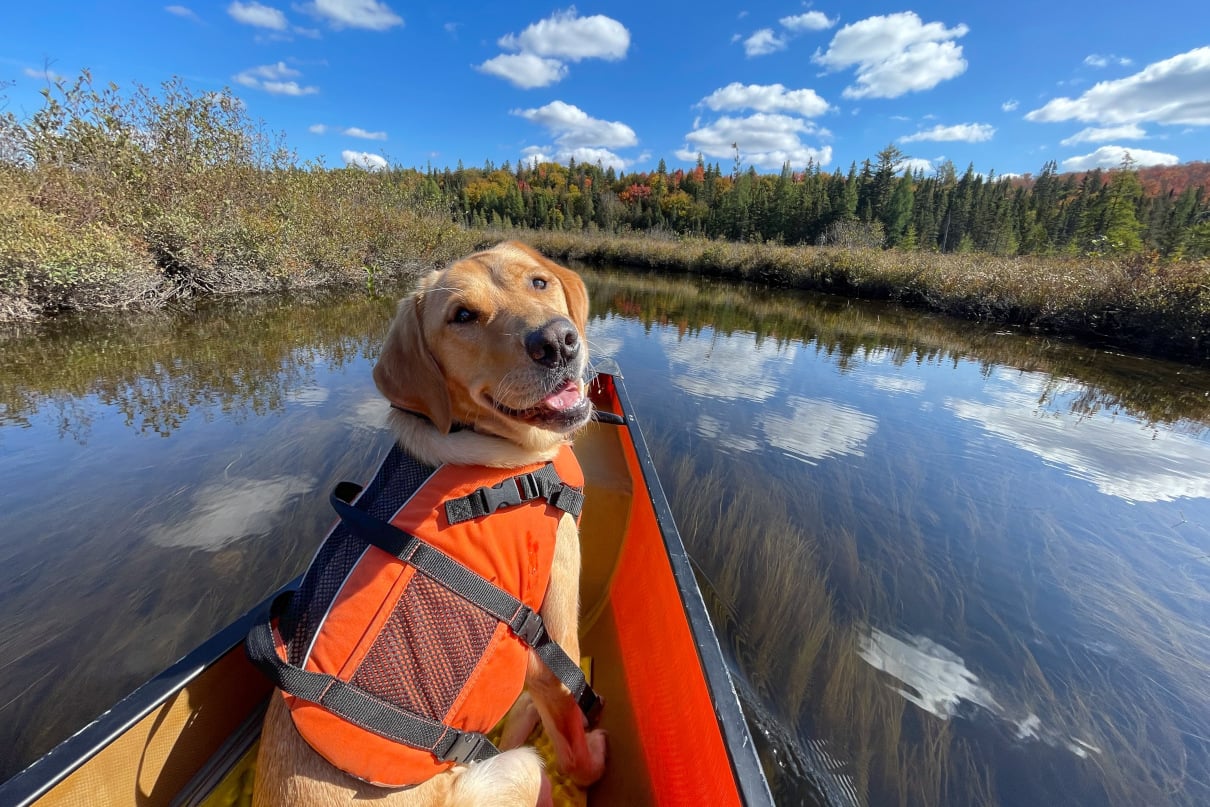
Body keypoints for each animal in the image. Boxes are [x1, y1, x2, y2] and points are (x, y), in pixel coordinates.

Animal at [254, 243, 605, 807]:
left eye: (538, 282)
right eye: (462, 316)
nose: (557, 341)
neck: (478, 440)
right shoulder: (555, 637)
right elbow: (575, 745)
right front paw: (591, 756)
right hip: (518, 771)